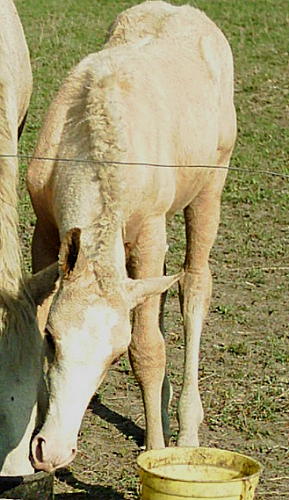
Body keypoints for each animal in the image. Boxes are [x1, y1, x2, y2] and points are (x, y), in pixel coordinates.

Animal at [27, 0, 235, 472]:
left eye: (114, 355)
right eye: (52, 339)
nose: (55, 451)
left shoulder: (150, 234)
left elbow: (148, 348)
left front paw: (157, 450)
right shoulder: (45, 230)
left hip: (210, 187)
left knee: (194, 283)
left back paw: (185, 429)